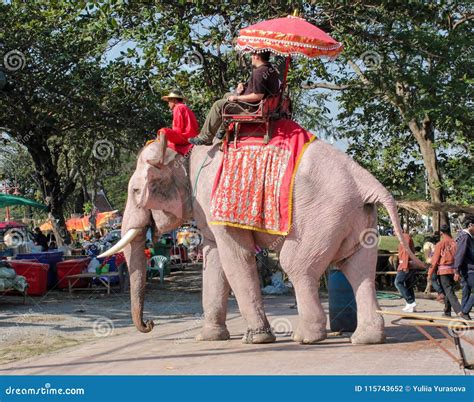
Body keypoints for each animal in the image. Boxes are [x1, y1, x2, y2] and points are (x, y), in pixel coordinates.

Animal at [101, 130, 422, 344]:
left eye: (135, 191)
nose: (150, 324)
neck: (186, 153)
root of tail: (366, 181)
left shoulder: (213, 200)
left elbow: (236, 258)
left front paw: (257, 339)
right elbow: (214, 260)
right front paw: (210, 338)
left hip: (322, 217)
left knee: (297, 266)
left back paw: (306, 338)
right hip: (360, 219)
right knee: (358, 269)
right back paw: (367, 338)